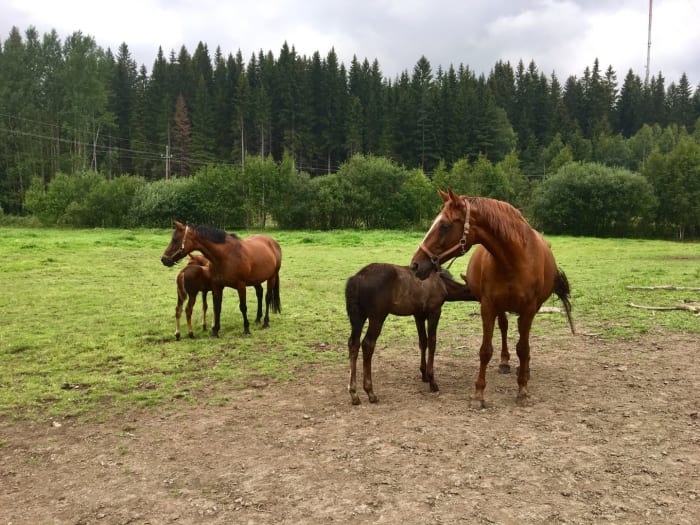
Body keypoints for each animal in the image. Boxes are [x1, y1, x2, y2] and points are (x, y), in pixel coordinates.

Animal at [344, 262, 476, 406]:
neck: (444, 285)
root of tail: (357, 278)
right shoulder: (434, 311)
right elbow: (432, 342)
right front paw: (432, 381)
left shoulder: (418, 314)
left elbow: (423, 342)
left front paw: (424, 375)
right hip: (377, 316)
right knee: (368, 344)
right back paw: (370, 392)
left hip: (358, 315)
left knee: (353, 343)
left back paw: (354, 393)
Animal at [410, 190, 576, 408]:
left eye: (444, 225)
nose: (415, 265)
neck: (515, 259)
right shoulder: (488, 306)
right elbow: (485, 350)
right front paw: (478, 394)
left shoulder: (529, 309)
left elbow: (523, 348)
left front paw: (522, 389)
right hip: (500, 306)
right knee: (504, 327)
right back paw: (504, 362)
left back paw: (525, 369)